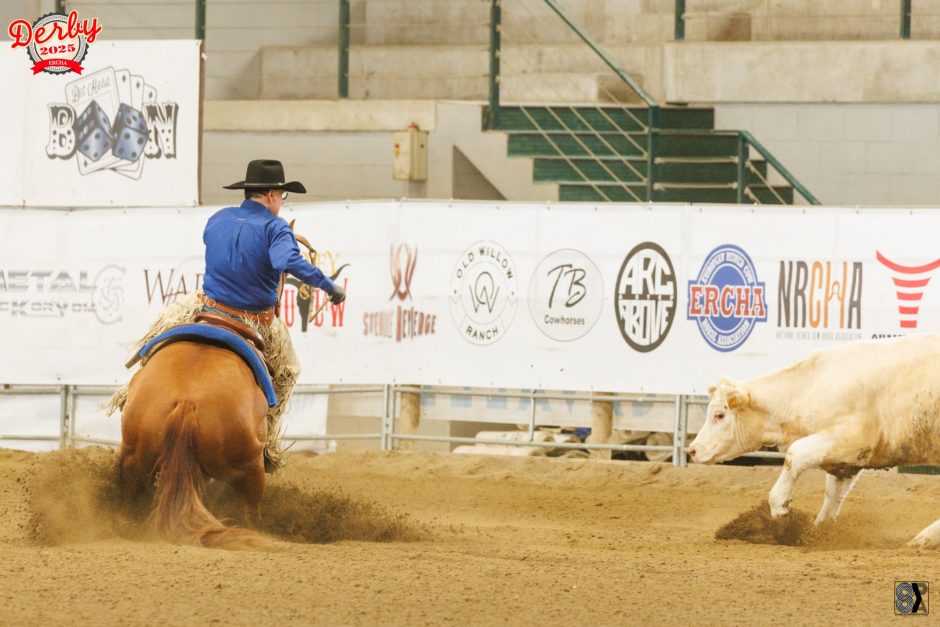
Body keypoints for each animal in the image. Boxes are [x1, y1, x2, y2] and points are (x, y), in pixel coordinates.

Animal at [688, 334, 940, 547]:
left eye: (719, 415)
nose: (692, 450)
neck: (814, 384)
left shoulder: (851, 439)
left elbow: (795, 455)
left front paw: (780, 511)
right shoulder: (846, 461)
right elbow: (832, 496)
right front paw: (817, 535)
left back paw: (923, 539)